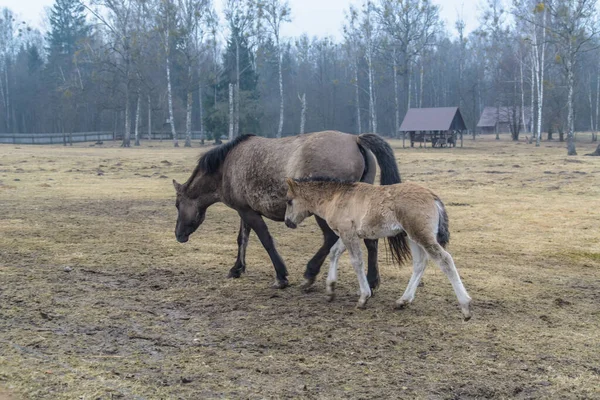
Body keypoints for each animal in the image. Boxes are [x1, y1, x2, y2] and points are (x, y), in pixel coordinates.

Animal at [171, 131, 400, 290]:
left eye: (177, 205)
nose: (178, 235)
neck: (227, 166)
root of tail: (355, 140)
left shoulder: (249, 212)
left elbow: (266, 240)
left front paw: (281, 276)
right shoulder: (244, 210)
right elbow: (242, 239)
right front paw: (237, 268)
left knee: (329, 238)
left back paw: (310, 273)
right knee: (370, 242)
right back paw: (371, 280)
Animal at [284, 177, 472, 318]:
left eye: (289, 201)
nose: (287, 222)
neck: (337, 197)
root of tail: (433, 196)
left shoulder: (348, 234)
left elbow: (357, 262)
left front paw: (363, 298)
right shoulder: (347, 234)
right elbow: (334, 252)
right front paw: (330, 290)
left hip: (421, 234)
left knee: (445, 260)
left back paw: (465, 306)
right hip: (411, 236)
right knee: (420, 263)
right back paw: (403, 300)